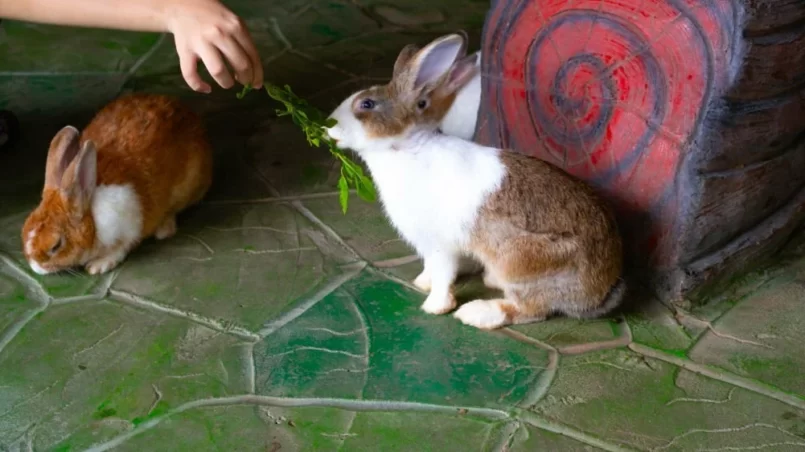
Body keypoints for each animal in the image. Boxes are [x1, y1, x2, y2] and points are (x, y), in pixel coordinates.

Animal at [23, 93, 214, 274]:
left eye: (55, 246)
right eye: (24, 229)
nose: (36, 268)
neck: (91, 216)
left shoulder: (128, 230)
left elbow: (119, 250)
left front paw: (98, 266)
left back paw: (163, 230)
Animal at [324, 32, 624, 328]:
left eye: (366, 104)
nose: (329, 127)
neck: (405, 147)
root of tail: (598, 293)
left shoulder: (440, 244)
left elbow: (443, 274)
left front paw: (435, 306)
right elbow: (431, 269)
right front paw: (421, 283)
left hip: (519, 262)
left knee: (531, 309)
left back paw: (476, 313)